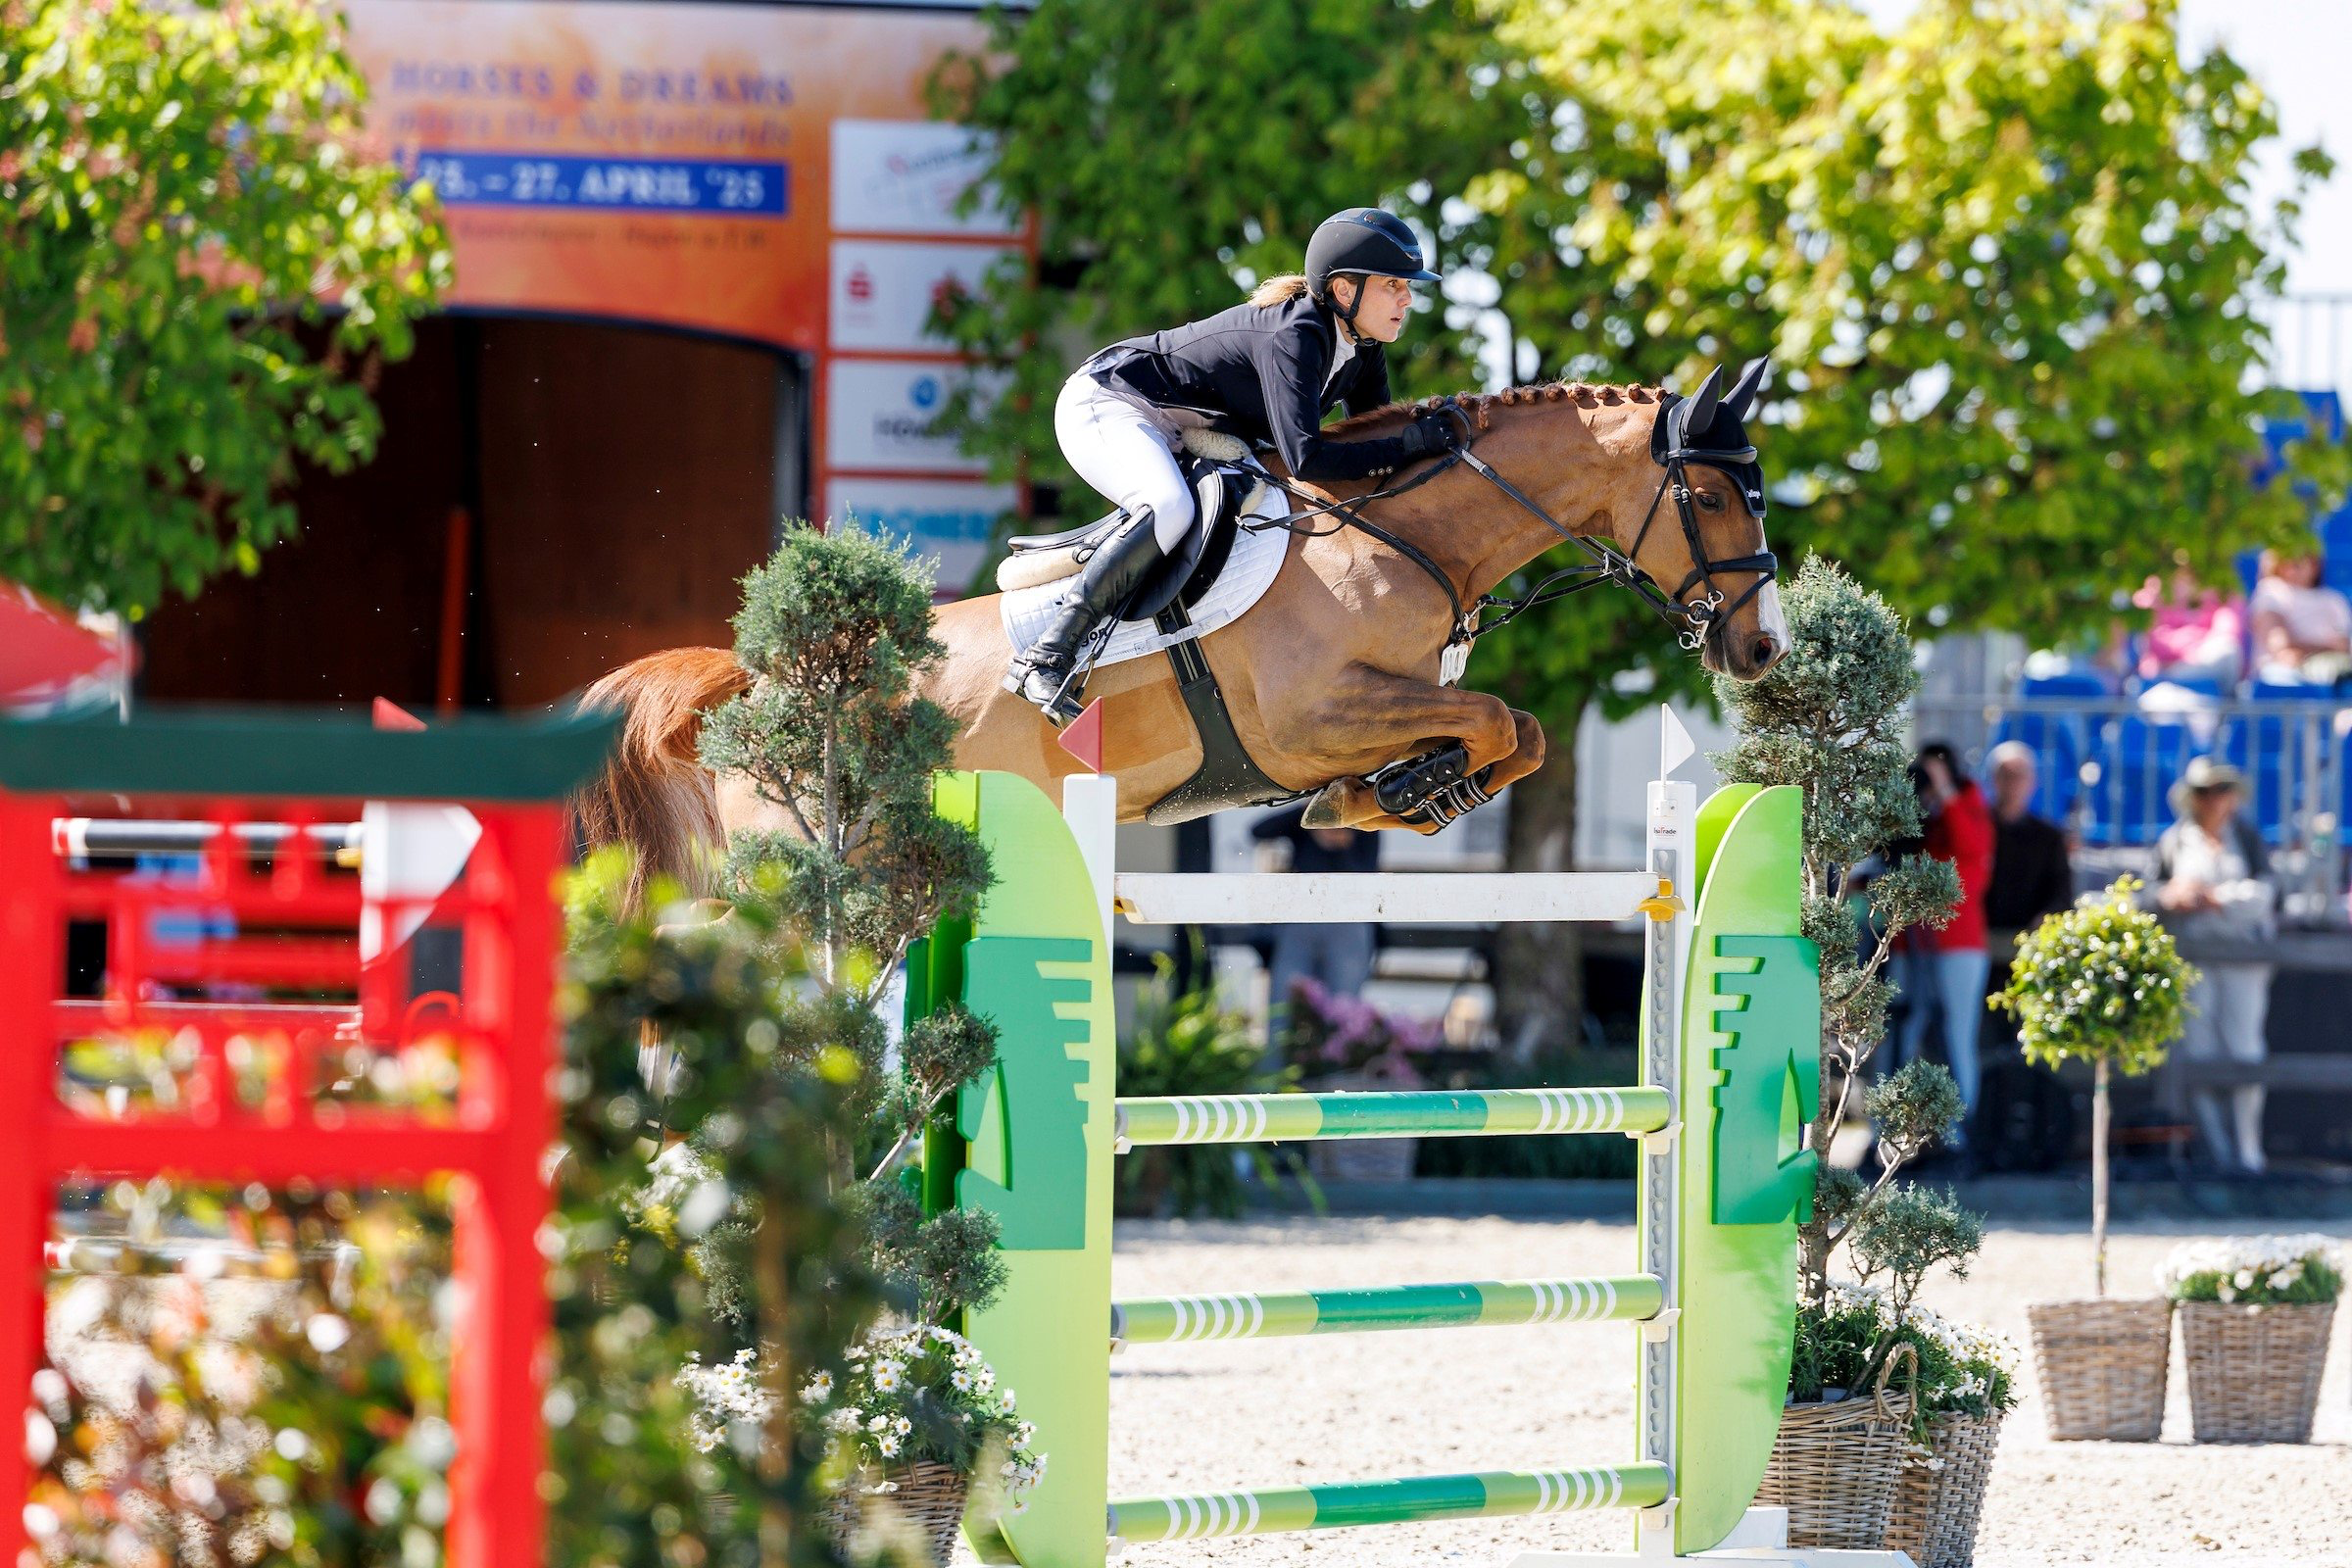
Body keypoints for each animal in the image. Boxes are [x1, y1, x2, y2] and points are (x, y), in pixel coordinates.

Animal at [570, 362, 1786, 896]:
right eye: (1713, 495)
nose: (1763, 649)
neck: (1395, 538)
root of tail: (762, 685)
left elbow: (1514, 734)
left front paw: (1396, 796)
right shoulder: (1311, 718)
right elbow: (1494, 719)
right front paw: (1401, 788)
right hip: (809, 856)